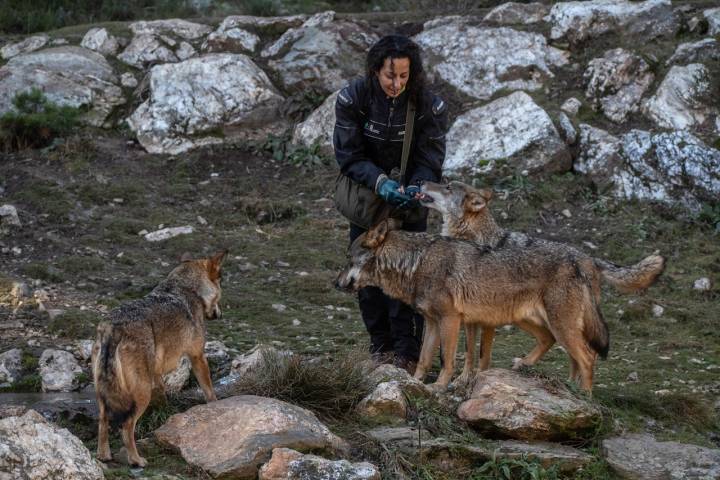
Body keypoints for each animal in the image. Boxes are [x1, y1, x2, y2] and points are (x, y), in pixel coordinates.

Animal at [90, 249, 225, 466]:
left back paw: (104, 456)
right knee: (126, 426)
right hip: (141, 394)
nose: (220, 314)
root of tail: (113, 327)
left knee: (103, 422)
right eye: (221, 282)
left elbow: (162, 393)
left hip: (103, 395)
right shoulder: (197, 356)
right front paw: (215, 406)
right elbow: (209, 390)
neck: (187, 288)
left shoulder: (157, 372)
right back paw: (136, 460)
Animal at [338, 223, 612, 392]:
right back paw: (551, 378)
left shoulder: (450, 319)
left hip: (559, 326)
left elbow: (448, 360)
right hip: (536, 322)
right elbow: (424, 359)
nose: (335, 282)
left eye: (348, 259)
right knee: (554, 344)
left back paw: (584, 395)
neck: (417, 262)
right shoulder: (432, 322)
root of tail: (582, 264)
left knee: (588, 357)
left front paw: (439, 386)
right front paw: (413, 383)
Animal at [420, 180, 668, 382]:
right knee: (565, 350)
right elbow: (470, 351)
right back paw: (564, 382)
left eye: (447, 187)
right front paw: (462, 380)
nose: (422, 182)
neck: (473, 240)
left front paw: (477, 379)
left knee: (585, 353)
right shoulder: (471, 318)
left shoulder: (487, 320)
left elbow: (483, 355)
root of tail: (590, 259)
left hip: (558, 319)